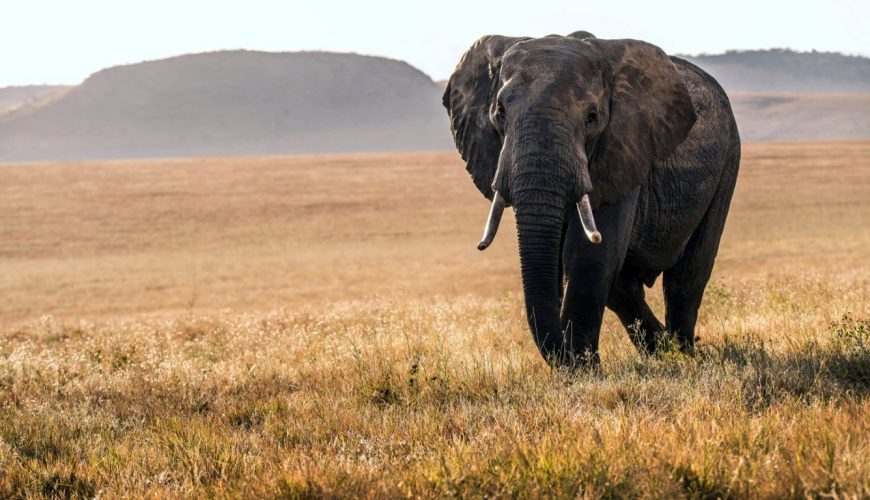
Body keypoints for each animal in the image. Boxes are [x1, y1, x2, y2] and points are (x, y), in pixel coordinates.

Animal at [442, 32, 740, 367]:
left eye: (592, 118)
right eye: (499, 113)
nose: (566, 356)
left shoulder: (622, 149)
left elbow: (588, 256)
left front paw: (584, 370)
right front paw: (580, 365)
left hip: (728, 161)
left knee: (686, 278)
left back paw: (683, 355)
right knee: (624, 288)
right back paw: (661, 351)